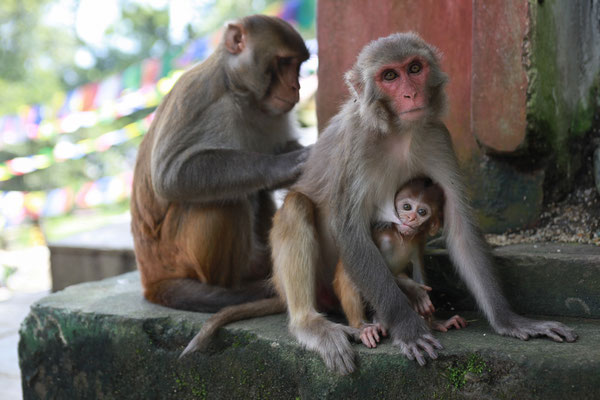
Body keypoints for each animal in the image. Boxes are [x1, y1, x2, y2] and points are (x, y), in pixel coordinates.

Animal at [130, 15, 310, 314]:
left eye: (298, 65)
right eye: (284, 62)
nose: (296, 87)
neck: (240, 91)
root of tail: (150, 279)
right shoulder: (200, 98)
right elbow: (170, 176)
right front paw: (287, 164)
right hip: (175, 256)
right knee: (224, 200)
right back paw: (237, 284)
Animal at [336, 178, 466, 350]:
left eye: (422, 212)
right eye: (406, 207)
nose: (410, 218)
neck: (400, 237)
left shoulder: (418, 241)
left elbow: (418, 271)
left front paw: (434, 321)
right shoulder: (382, 238)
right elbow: (375, 273)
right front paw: (416, 291)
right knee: (351, 274)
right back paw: (365, 327)